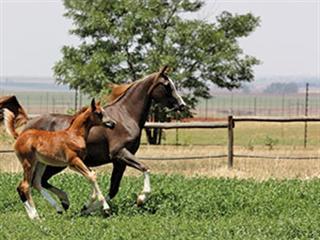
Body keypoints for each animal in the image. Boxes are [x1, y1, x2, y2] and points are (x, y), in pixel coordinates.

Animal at [3, 66, 186, 216]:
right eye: (167, 85)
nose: (182, 105)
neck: (125, 116)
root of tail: (24, 130)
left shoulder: (119, 162)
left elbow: (113, 189)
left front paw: (87, 208)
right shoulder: (120, 153)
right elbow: (145, 168)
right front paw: (140, 199)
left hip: (52, 164)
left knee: (40, 181)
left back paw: (63, 204)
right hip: (50, 164)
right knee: (32, 183)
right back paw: (48, 209)